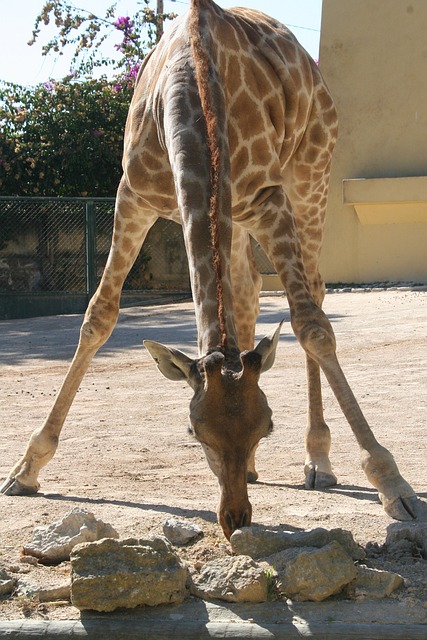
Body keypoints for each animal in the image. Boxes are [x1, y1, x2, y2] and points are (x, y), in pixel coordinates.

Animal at [0, 0, 424, 540]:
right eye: (194, 431)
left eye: (267, 426)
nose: (234, 519)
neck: (194, 88)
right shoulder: (133, 197)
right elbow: (98, 315)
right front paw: (25, 468)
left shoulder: (267, 199)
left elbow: (312, 326)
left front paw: (393, 484)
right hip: (239, 216)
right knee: (245, 287)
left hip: (312, 172)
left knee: (313, 290)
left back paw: (318, 461)